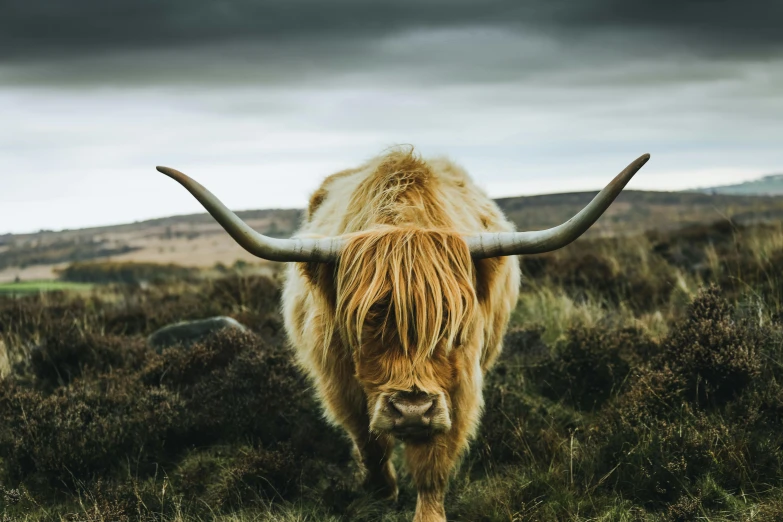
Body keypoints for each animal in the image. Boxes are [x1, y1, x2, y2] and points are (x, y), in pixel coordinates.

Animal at [159, 146, 648, 520]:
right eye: (364, 323)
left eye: (452, 323)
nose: (411, 409)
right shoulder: (341, 385)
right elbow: (369, 441)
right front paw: (381, 493)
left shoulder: (457, 391)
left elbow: (433, 464)